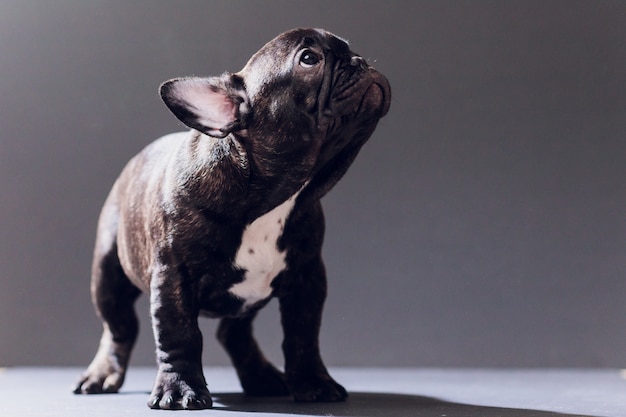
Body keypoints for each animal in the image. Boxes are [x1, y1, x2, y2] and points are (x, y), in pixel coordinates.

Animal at [73, 27, 390, 408]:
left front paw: (314, 382)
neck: (274, 197)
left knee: (233, 332)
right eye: (309, 59)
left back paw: (261, 376)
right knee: (118, 327)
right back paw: (103, 373)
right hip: (108, 271)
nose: (359, 61)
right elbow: (179, 333)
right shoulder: (173, 276)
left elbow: (303, 335)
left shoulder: (308, 278)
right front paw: (180, 389)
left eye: (348, 48)